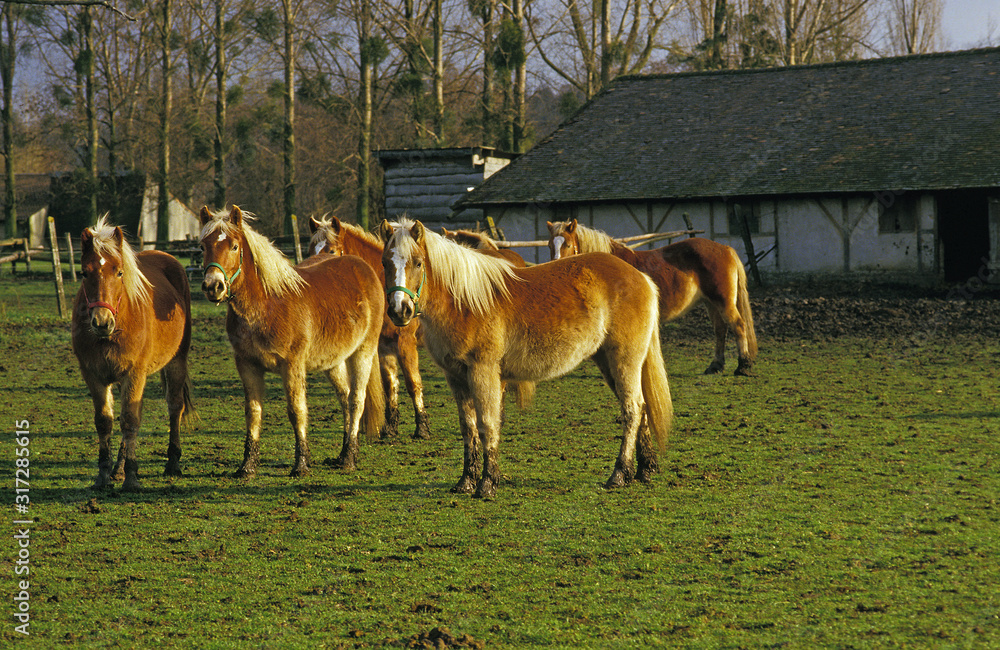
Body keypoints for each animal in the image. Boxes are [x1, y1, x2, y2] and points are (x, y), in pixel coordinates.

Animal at [71, 215, 195, 488]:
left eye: (119, 272)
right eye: (84, 273)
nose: (102, 322)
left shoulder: (134, 374)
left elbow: (130, 421)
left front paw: (131, 477)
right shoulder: (93, 375)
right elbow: (105, 421)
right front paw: (104, 475)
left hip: (177, 362)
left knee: (174, 406)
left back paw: (173, 462)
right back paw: (118, 468)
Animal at [197, 205, 384, 474]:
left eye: (233, 246)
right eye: (203, 246)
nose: (214, 286)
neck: (267, 304)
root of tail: (363, 267)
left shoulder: (292, 365)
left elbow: (297, 410)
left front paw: (301, 464)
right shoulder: (247, 365)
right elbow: (253, 412)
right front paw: (247, 467)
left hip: (363, 352)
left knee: (356, 400)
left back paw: (349, 459)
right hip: (334, 361)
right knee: (344, 397)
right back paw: (344, 453)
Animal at [304, 215, 430, 438]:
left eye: (331, 251)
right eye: (310, 251)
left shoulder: (405, 343)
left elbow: (413, 383)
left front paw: (422, 429)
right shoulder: (384, 346)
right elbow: (390, 385)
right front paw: (390, 428)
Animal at [380, 216, 672, 496]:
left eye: (418, 263)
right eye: (385, 263)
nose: (399, 310)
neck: (463, 303)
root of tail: (641, 278)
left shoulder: (483, 372)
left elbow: (487, 425)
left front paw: (487, 483)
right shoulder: (456, 378)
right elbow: (468, 428)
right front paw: (466, 481)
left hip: (624, 360)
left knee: (632, 409)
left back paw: (620, 474)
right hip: (608, 362)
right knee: (642, 407)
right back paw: (644, 470)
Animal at [548, 219, 756, 374]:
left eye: (567, 244)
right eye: (550, 245)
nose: (555, 269)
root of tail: (724, 248)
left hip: (723, 302)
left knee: (739, 325)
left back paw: (743, 366)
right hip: (710, 303)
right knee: (720, 330)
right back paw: (715, 366)